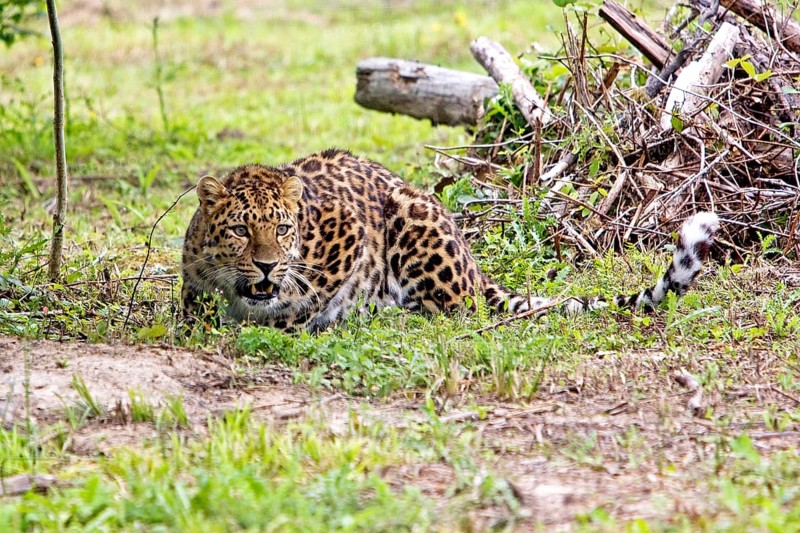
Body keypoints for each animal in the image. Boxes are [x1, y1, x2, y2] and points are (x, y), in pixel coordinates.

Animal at [181, 149, 719, 333]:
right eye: (240, 229)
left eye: (283, 228)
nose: (267, 266)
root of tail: (475, 265)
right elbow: (193, 308)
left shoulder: (348, 232)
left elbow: (303, 302)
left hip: (413, 218)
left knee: (457, 308)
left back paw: (386, 313)